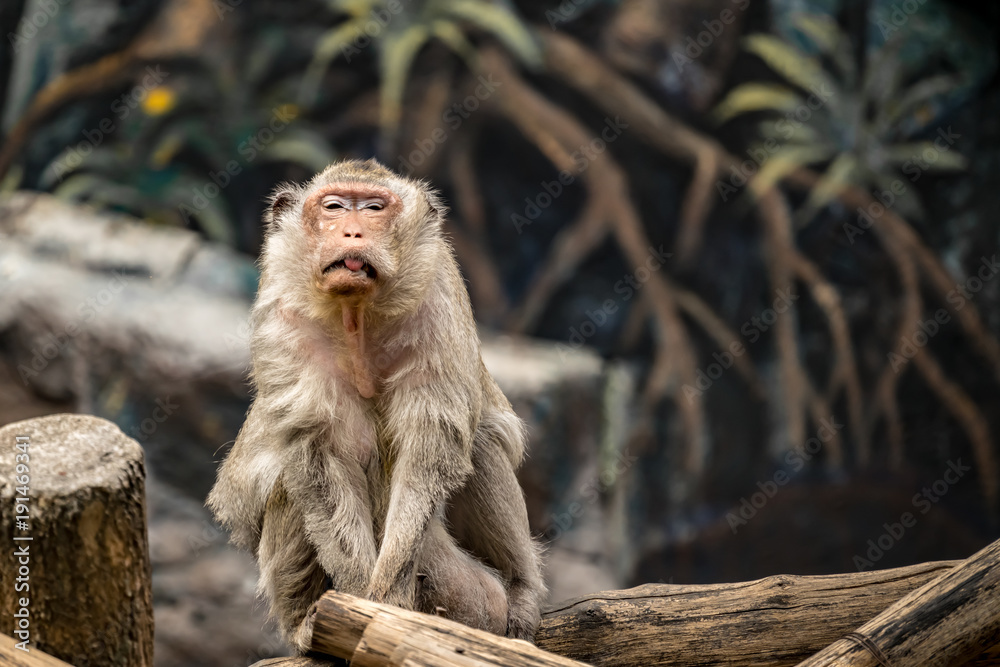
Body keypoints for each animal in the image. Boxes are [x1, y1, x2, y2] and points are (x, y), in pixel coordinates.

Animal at [207, 158, 546, 653]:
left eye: (373, 208)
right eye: (332, 207)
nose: (352, 232)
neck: (358, 314)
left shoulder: (437, 297)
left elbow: (430, 450)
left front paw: (385, 596)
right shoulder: (284, 317)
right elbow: (316, 455)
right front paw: (356, 600)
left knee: (479, 443)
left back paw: (520, 588)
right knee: (289, 482)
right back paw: (303, 625)